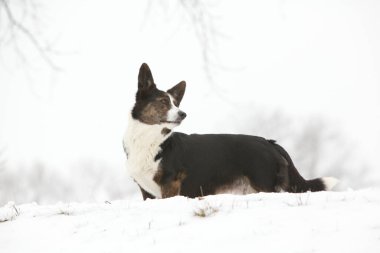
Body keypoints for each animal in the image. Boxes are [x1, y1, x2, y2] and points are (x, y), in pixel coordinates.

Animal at [122, 63, 338, 200]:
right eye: (162, 102)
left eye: (176, 103)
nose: (183, 114)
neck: (150, 139)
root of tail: (268, 142)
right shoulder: (147, 192)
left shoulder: (170, 184)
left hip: (265, 183)